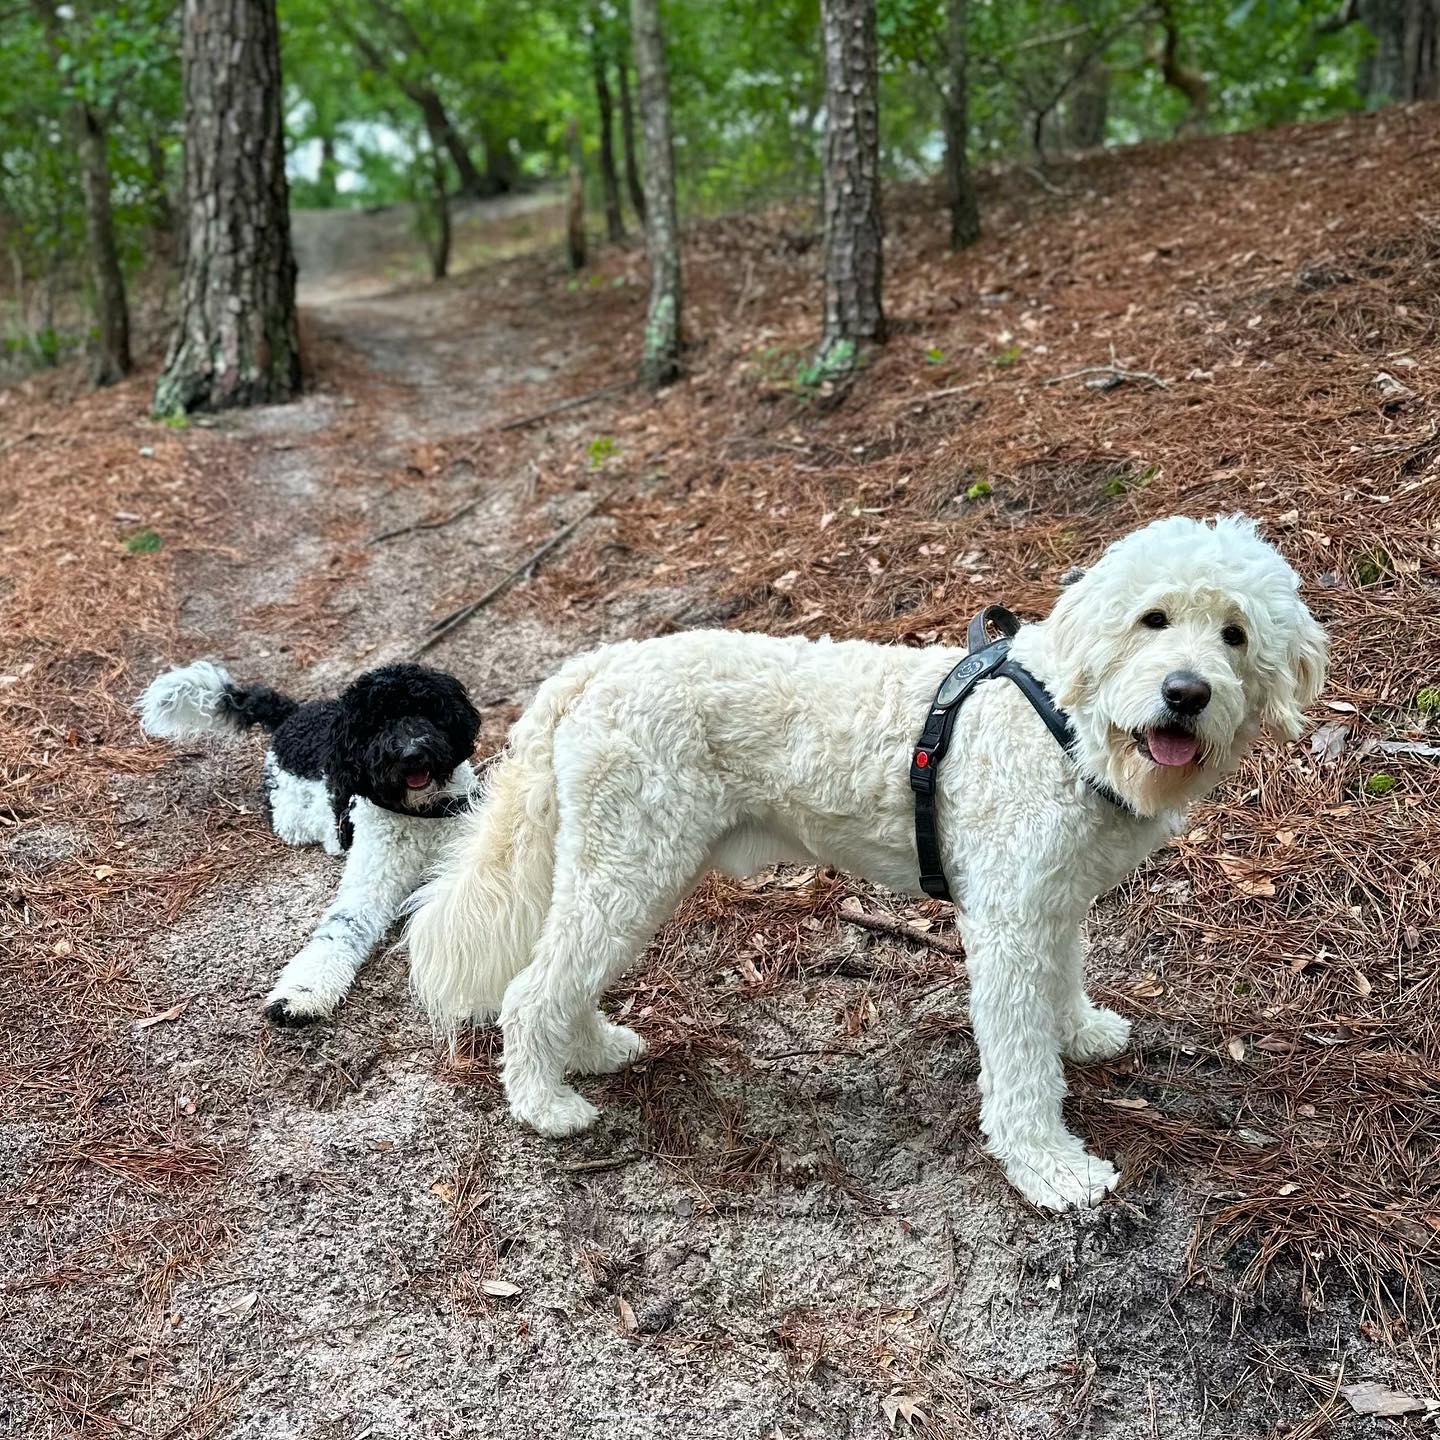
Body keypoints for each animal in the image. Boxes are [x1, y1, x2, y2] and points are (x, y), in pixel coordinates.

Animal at [138, 659, 483, 1025]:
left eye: (424, 709)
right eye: (375, 724)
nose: (411, 753)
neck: (420, 813)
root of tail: (294, 712)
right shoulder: (368, 889)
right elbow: (337, 932)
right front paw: (301, 994)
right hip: (289, 817)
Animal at [406, 512, 1324, 1209]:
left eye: (1235, 635)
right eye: (1153, 619)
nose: (1186, 693)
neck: (1062, 724)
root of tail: (592, 667)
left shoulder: (1050, 904)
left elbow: (1064, 981)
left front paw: (1081, 1029)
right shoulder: (1007, 926)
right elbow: (1022, 1067)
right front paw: (1051, 1167)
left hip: (628, 870)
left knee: (561, 978)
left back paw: (592, 1049)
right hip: (630, 866)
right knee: (531, 989)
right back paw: (545, 1102)